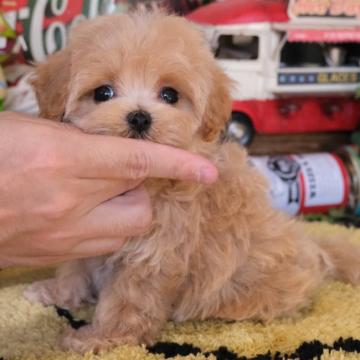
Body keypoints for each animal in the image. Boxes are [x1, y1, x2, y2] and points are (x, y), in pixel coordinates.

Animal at [23, 11, 358, 354]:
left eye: (170, 95)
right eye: (103, 93)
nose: (139, 117)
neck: (144, 183)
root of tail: (314, 249)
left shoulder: (153, 254)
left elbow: (127, 303)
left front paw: (99, 339)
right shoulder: (84, 231)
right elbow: (75, 268)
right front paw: (56, 292)